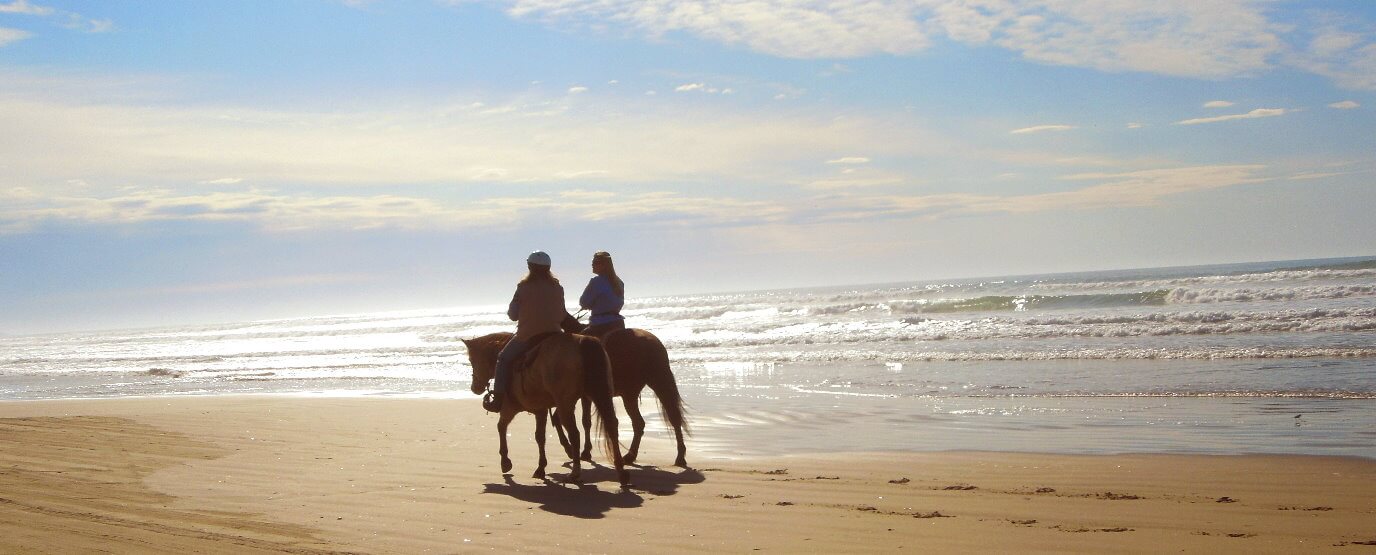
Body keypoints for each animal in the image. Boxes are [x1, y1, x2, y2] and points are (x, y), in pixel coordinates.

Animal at [465, 330, 630, 487]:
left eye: (471, 360)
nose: (474, 388)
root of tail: (583, 343)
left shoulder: (510, 407)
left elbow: (501, 427)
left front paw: (505, 462)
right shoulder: (541, 410)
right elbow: (540, 437)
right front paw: (540, 468)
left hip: (565, 405)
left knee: (575, 434)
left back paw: (575, 472)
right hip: (598, 396)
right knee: (611, 425)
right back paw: (621, 472)